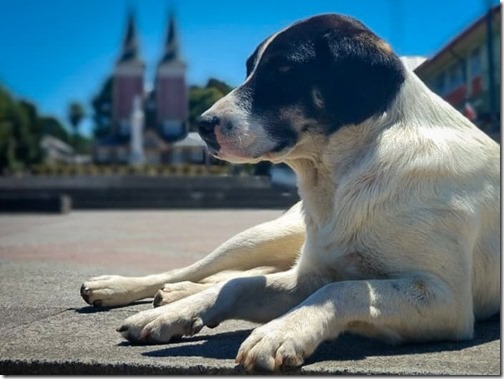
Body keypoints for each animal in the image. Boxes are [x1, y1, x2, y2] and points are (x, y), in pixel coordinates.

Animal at [79, 13, 500, 372]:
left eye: (283, 69)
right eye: (250, 68)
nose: (200, 124)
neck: (350, 173)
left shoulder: (446, 301)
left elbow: (344, 288)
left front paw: (282, 330)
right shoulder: (308, 275)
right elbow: (239, 284)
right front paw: (172, 315)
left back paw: (174, 293)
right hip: (262, 235)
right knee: (204, 269)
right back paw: (128, 288)